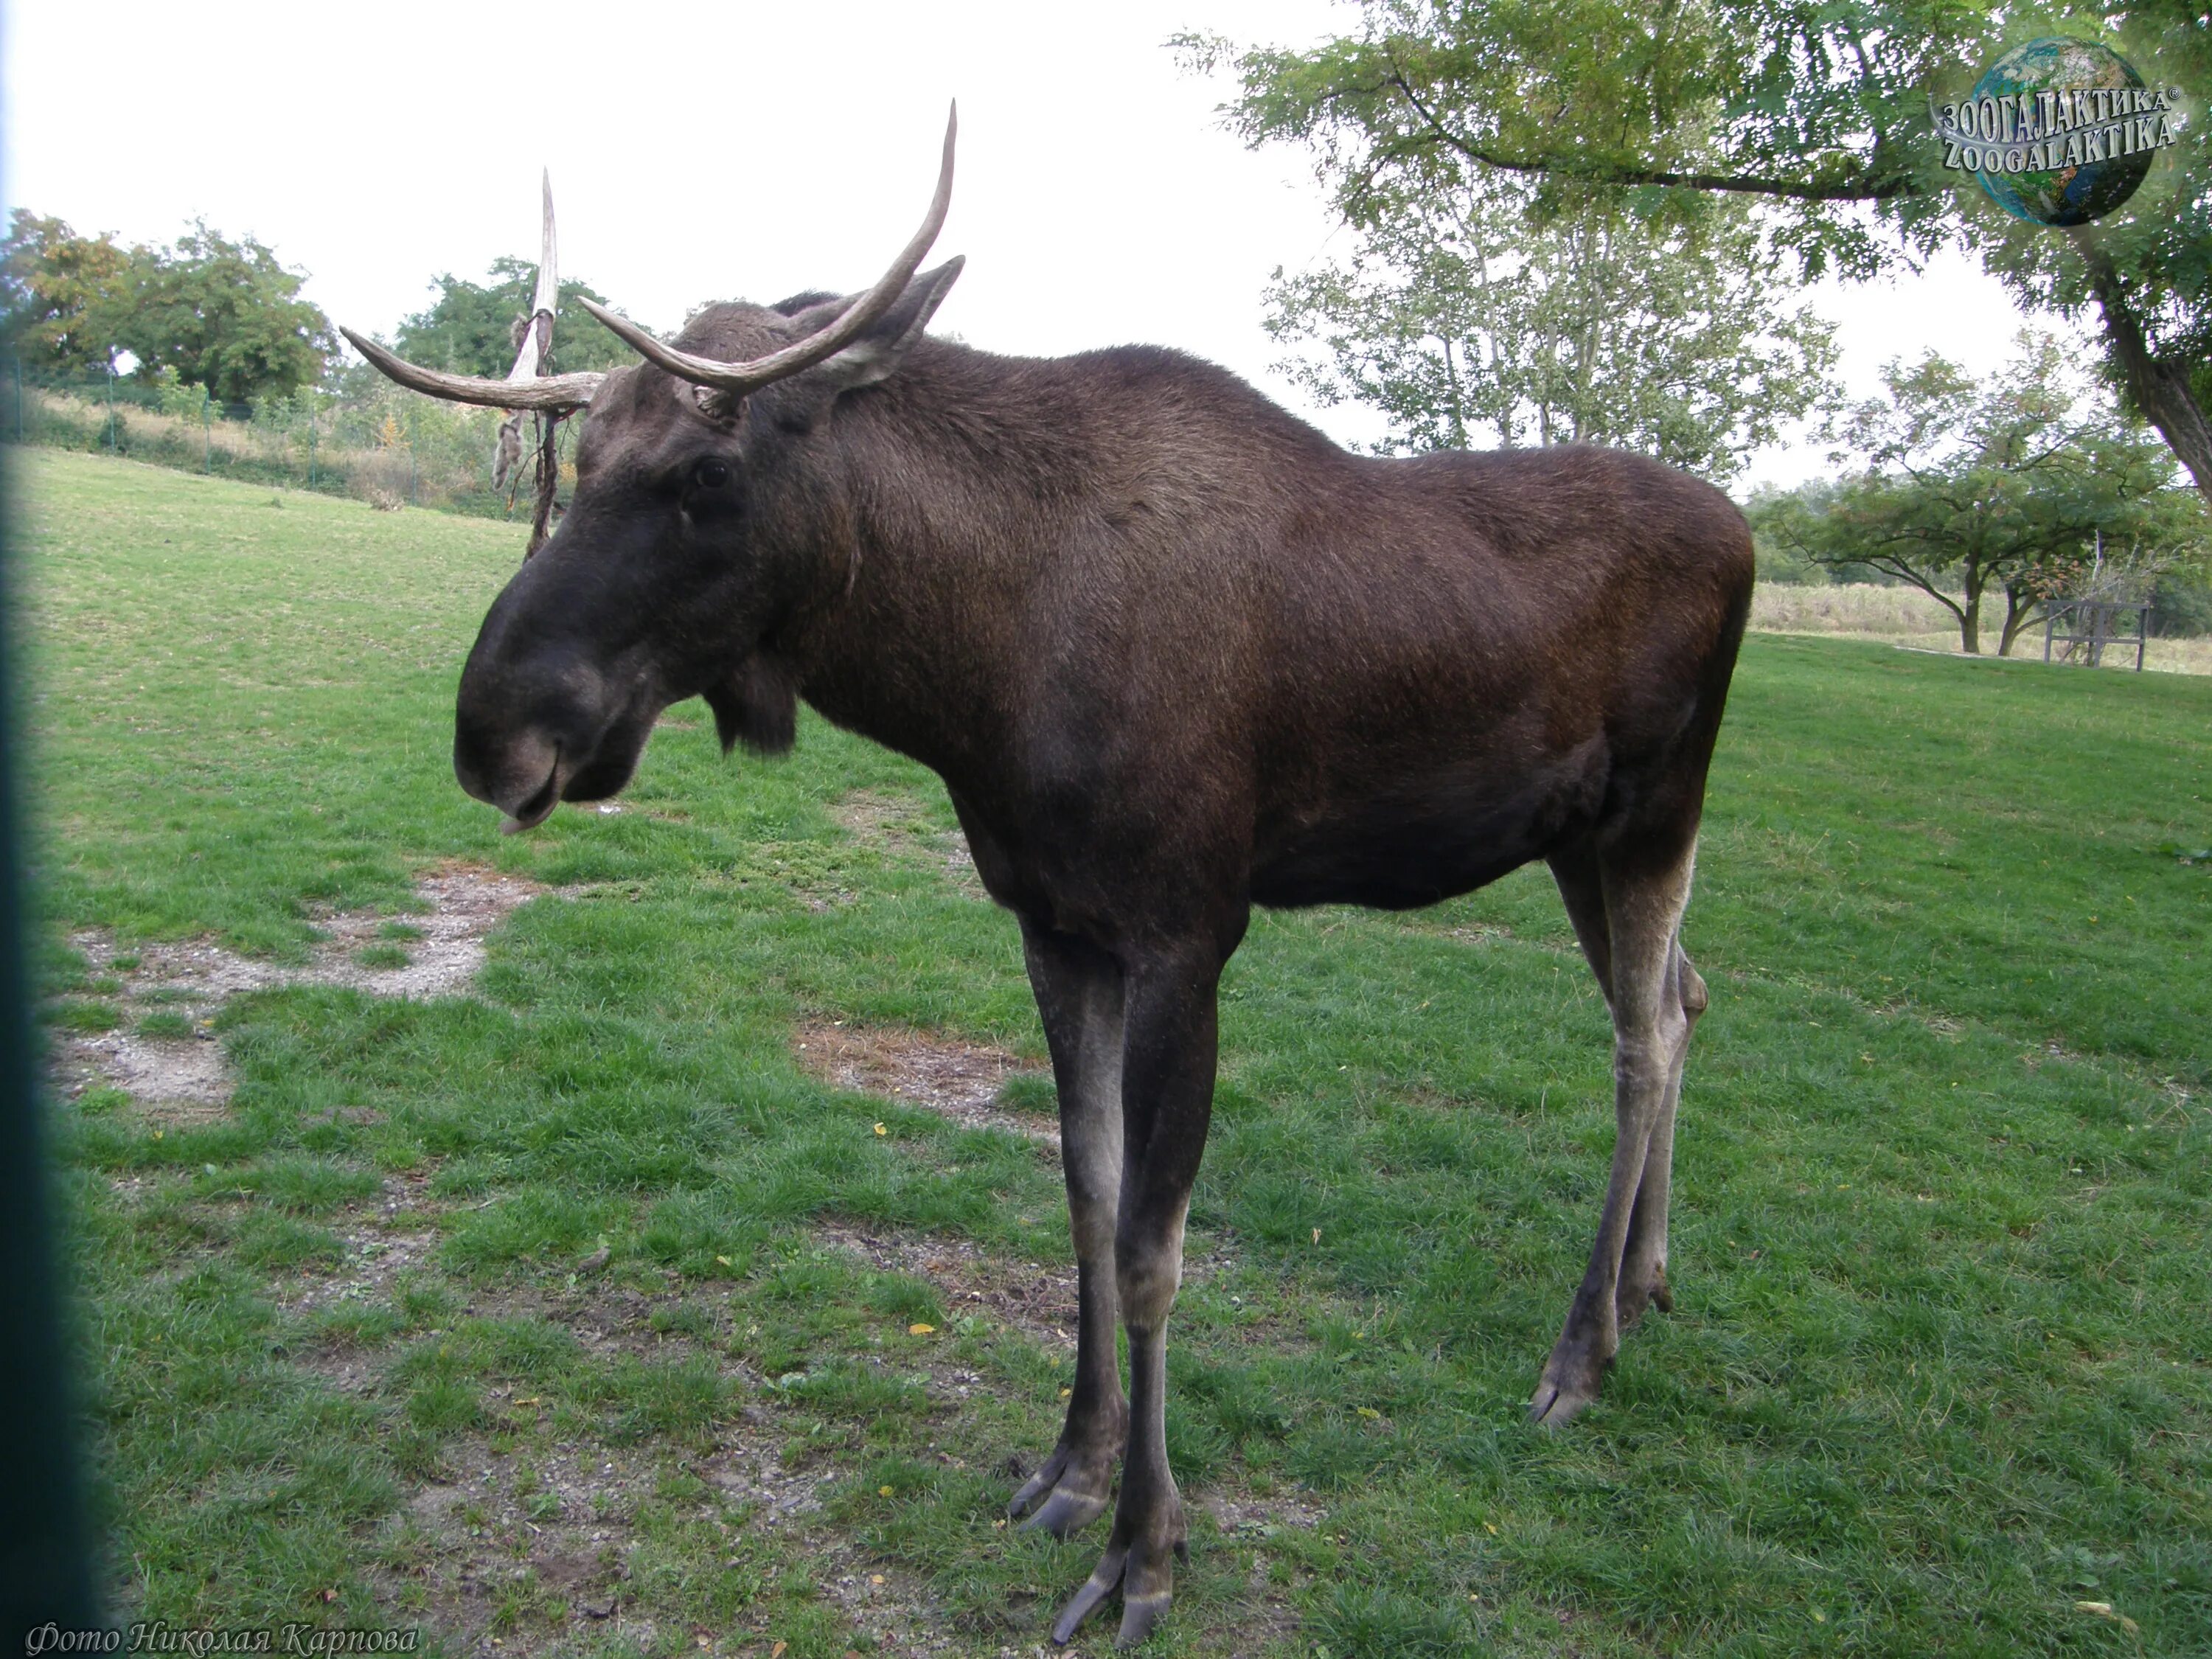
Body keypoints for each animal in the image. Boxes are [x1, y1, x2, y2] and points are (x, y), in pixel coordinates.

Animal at [349, 107, 1743, 1655]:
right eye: (581, 454)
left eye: (707, 476)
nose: (496, 729)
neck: (974, 671)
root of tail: (1747, 530)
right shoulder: (1053, 924)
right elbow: (1082, 1194)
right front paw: (1072, 1468)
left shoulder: (1189, 931)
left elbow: (1150, 1249)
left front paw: (1149, 1549)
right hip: (1576, 838)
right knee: (1684, 998)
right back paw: (1648, 1283)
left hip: (1653, 809)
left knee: (1639, 1035)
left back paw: (1582, 1350)